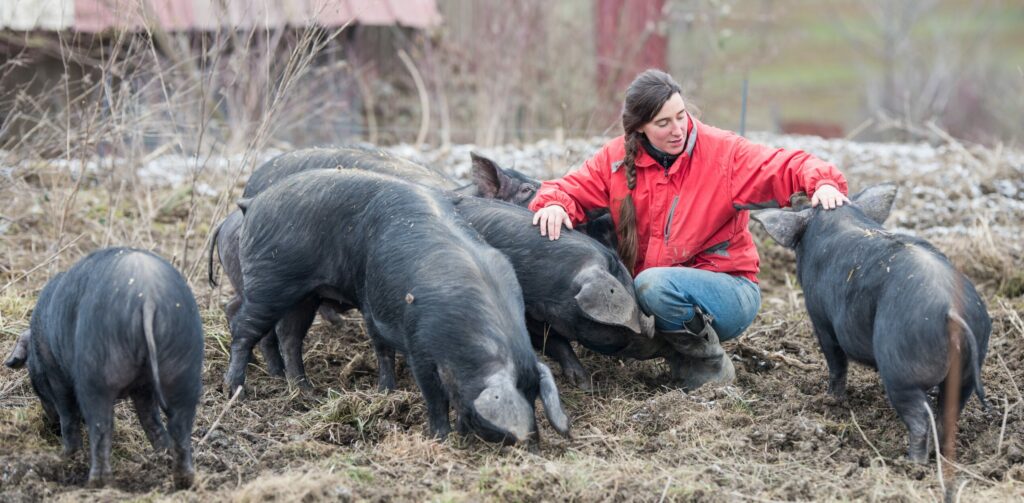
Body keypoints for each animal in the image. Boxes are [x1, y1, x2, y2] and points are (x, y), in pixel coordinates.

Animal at [4, 249, 202, 489]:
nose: (49, 425)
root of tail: (148, 296)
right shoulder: (143, 389)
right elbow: (150, 418)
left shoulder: (56, 376)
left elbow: (68, 416)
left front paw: (67, 456)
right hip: (184, 366)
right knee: (175, 425)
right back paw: (181, 477)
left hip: (98, 371)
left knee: (101, 427)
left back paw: (96, 482)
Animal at [225, 170, 573, 444]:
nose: (531, 443)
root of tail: (253, 203)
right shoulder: (420, 347)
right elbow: (434, 395)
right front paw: (440, 437)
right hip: (269, 281)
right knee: (244, 329)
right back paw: (235, 389)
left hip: (307, 294)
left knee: (290, 337)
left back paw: (308, 390)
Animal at [757, 183, 987, 463]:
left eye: (802, 205)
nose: (797, 193)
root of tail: (951, 310)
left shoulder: (821, 319)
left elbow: (836, 364)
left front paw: (831, 399)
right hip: (967, 370)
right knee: (948, 413)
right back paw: (941, 456)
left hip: (902, 370)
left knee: (921, 418)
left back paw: (912, 463)